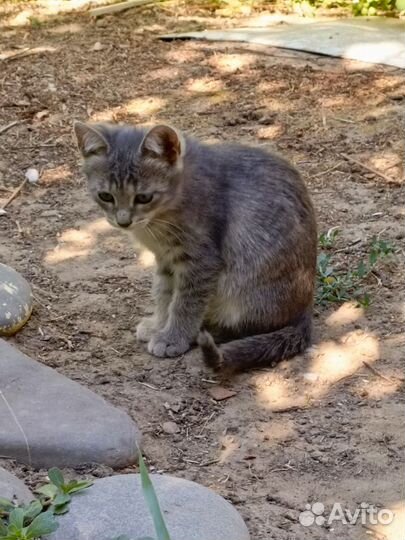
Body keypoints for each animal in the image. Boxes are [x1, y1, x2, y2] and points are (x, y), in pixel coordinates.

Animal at [74, 121, 318, 372]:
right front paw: (159, 325)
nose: (123, 221)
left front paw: (172, 337)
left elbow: (185, 303)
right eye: (105, 196)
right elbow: (164, 294)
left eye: (143, 197)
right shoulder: (165, 259)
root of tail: (305, 309)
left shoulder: (201, 261)